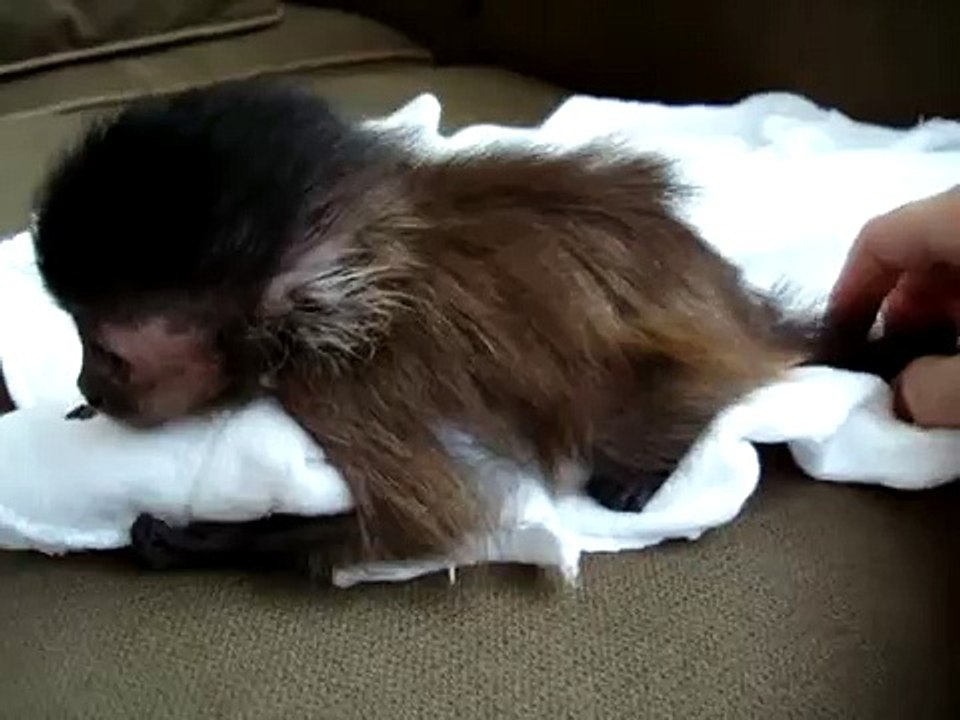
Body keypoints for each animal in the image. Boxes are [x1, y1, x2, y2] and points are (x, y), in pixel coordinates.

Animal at [28, 78, 957, 578]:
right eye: (80, 347)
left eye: (108, 353)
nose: (83, 382)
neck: (368, 252)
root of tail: (737, 301)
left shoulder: (349, 379)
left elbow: (423, 524)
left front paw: (186, 541)